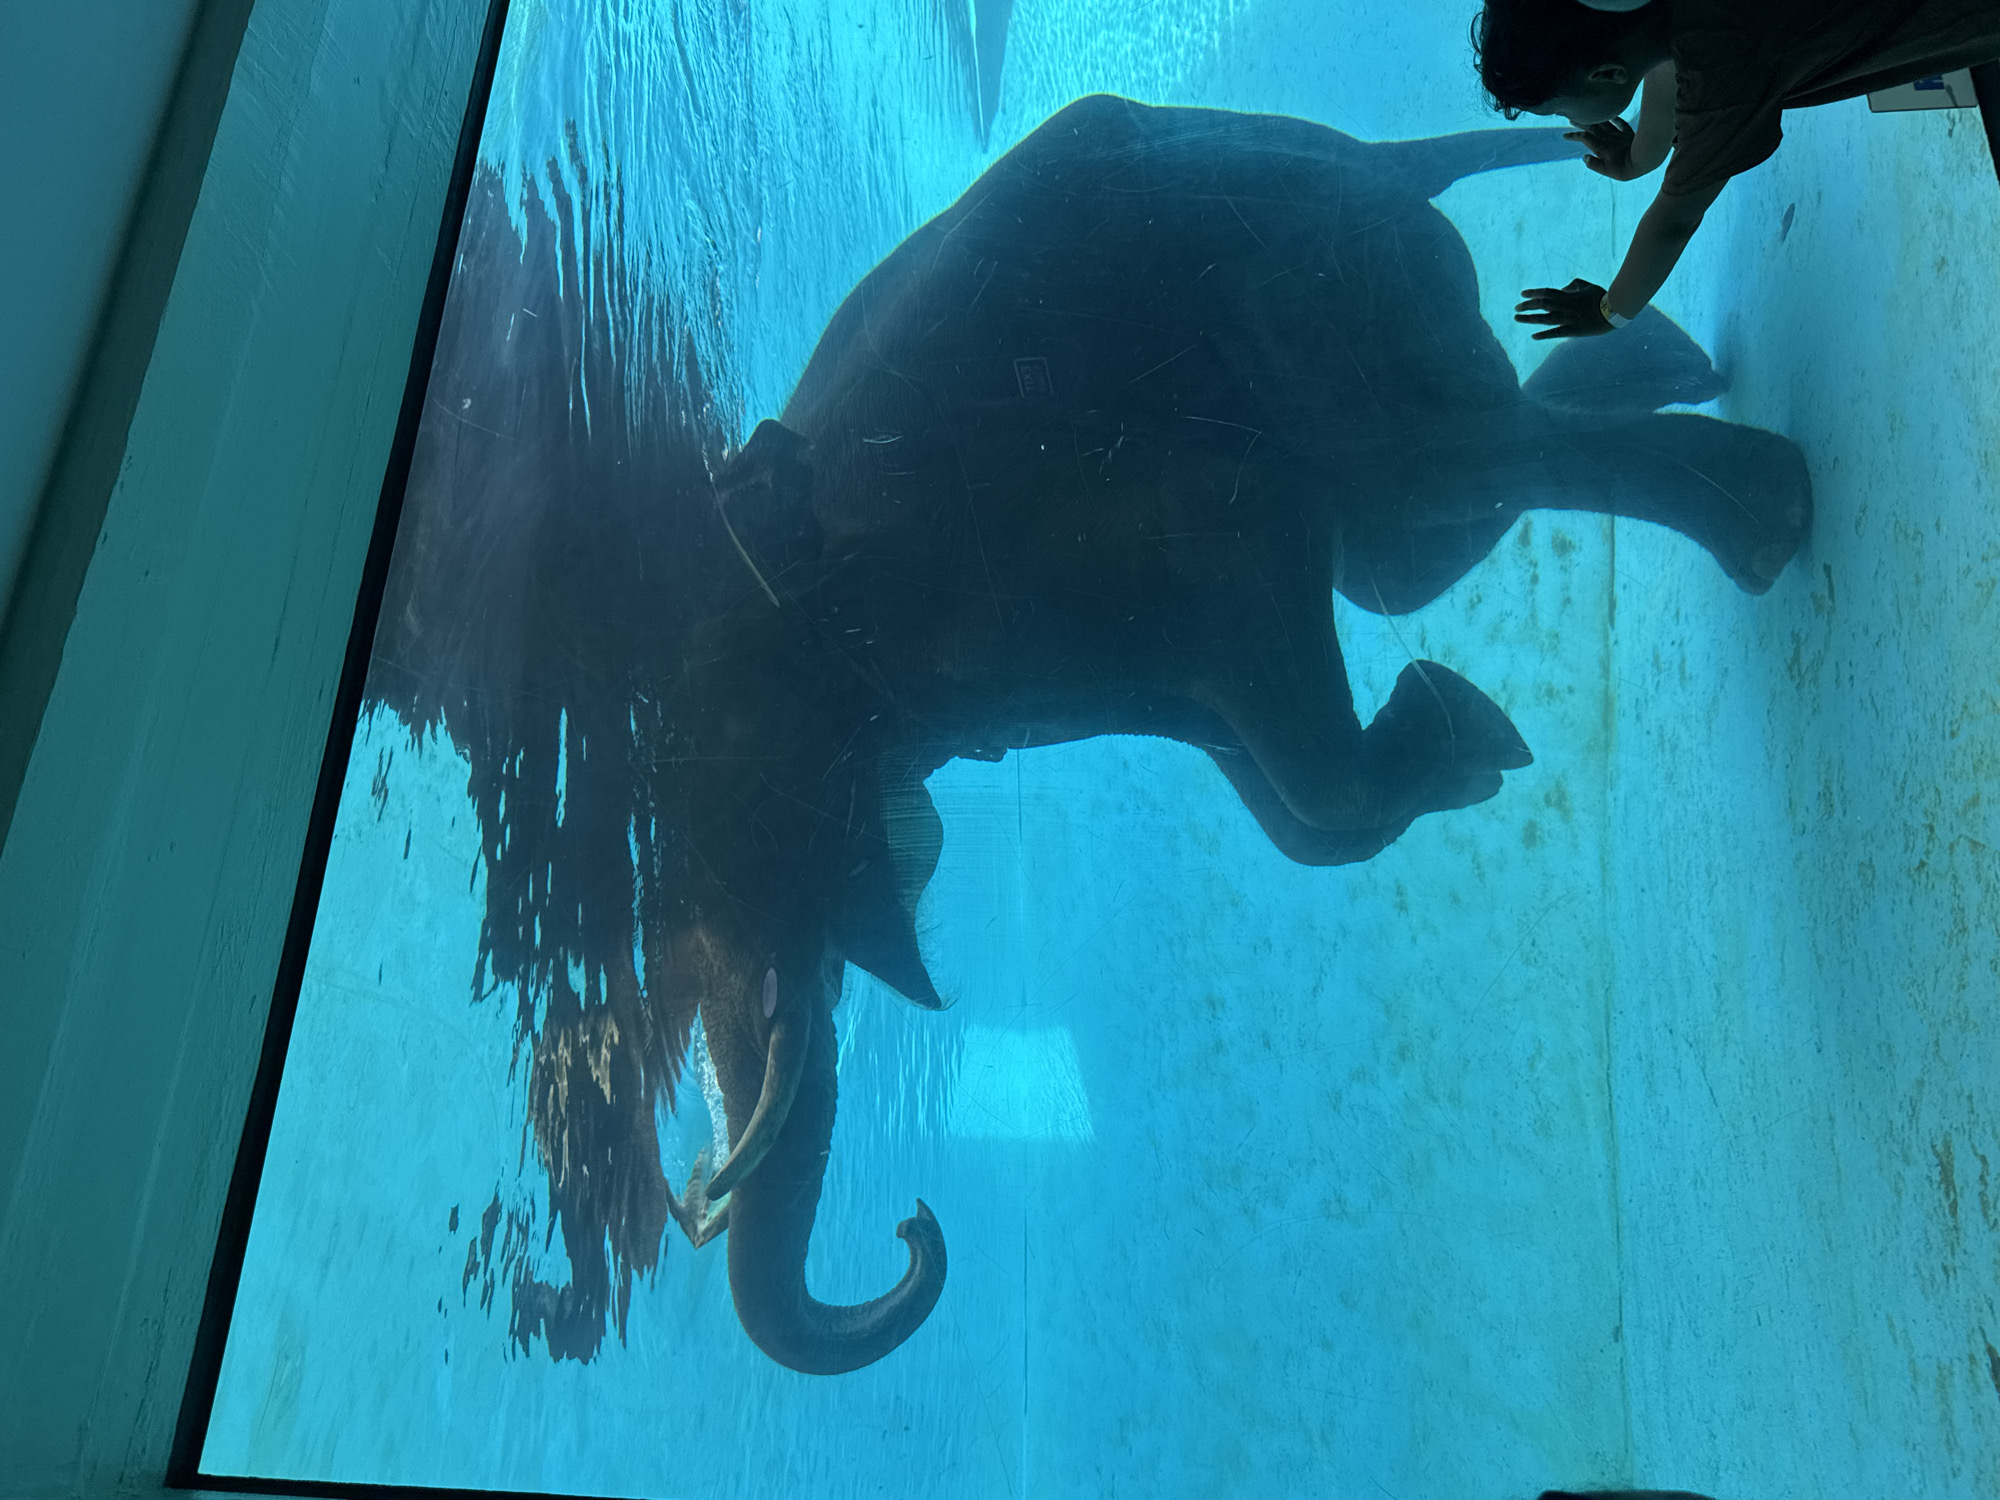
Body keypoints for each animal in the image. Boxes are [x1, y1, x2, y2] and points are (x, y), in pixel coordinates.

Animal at [373, 98, 1808, 1376]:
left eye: (759, 827)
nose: (914, 1221)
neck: (792, 563)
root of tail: (1387, 155)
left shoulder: (1085, 528)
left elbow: (1300, 750)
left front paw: (1466, 732)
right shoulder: (1070, 661)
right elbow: (1266, 778)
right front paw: (1458, 733)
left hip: (1325, 299)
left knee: (1440, 474)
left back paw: (1759, 515)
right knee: (1420, 535)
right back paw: (1681, 385)